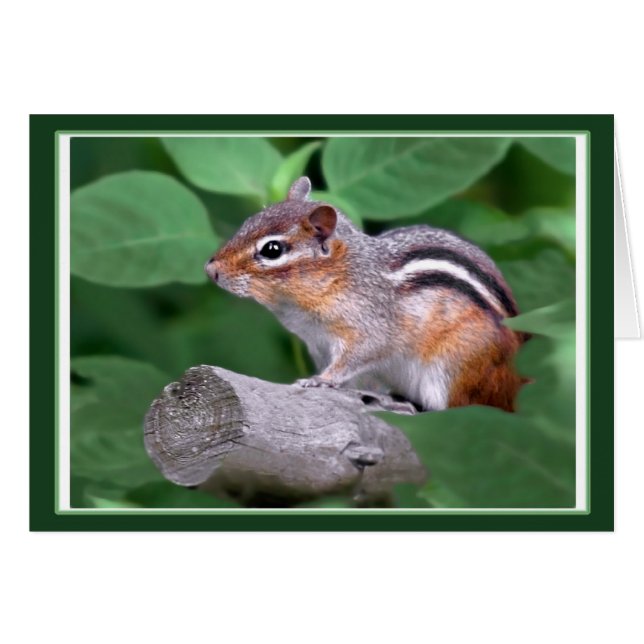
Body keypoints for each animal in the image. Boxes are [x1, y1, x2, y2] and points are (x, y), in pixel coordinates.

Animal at [205, 176, 525, 412]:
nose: (211, 270)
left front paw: (320, 381)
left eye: (272, 250)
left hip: (457, 368)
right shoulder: (318, 345)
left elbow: (362, 353)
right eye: (249, 220)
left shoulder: (369, 327)